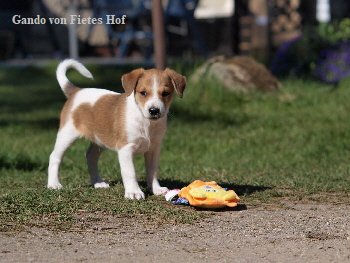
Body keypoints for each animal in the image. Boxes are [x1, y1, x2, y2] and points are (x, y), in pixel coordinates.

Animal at [48, 59, 189, 200]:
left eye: (165, 93)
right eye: (143, 93)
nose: (154, 110)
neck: (145, 121)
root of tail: (76, 91)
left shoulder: (154, 148)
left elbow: (152, 170)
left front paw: (156, 188)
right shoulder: (126, 148)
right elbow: (130, 172)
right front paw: (133, 192)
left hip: (99, 140)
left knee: (90, 156)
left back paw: (97, 182)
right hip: (67, 134)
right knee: (55, 157)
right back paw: (54, 184)